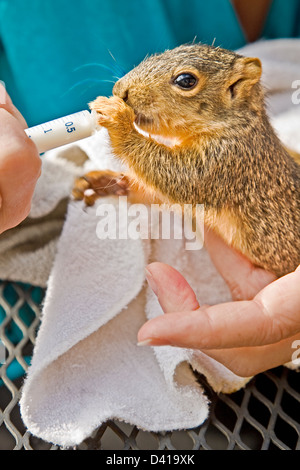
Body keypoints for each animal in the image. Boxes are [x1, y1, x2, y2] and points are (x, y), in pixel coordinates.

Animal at [73, 42, 300, 278]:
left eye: (186, 80)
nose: (119, 90)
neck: (235, 125)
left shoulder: (227, 161)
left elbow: (180, 179)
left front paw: (118, 118)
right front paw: (105, 182)